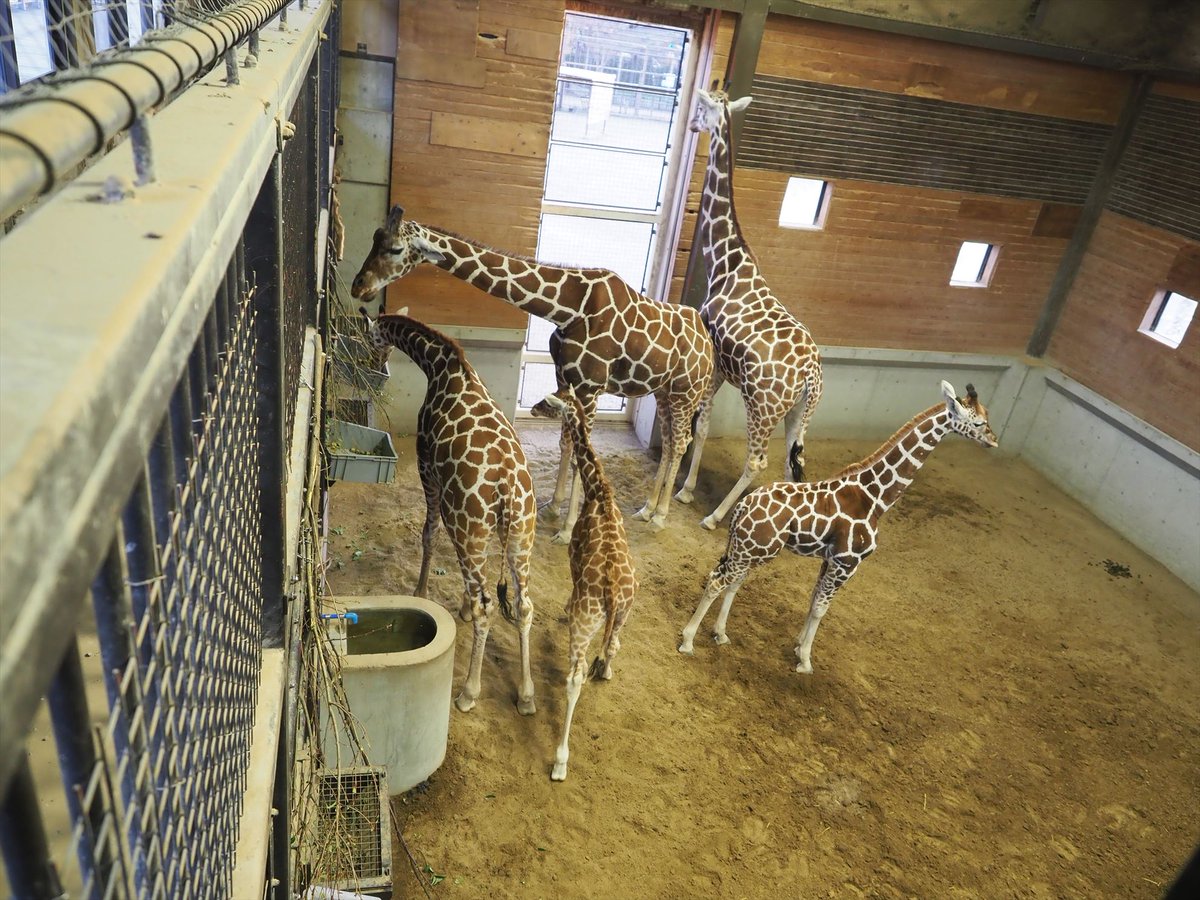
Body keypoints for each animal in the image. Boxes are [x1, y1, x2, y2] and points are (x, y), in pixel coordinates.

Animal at [351, 206, 714, 544]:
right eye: (373, 238)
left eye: (396, 249)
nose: (358, 287)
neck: (568, 309)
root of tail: (709, 341)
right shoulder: (565, 379)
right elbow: (566, 443)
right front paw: (553, 507)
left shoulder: (590, 387)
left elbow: (582, 451)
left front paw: (566, 529)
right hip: (664, 392)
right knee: (671, 442)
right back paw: (647, 508)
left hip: (685, 392)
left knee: (681, 442)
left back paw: (662, 515)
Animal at [365, 309, 538, 715]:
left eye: (371, 338)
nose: (374, 363)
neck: (440, 364)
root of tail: (508, 489)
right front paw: (459, 607)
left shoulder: (428, 469)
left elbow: (429, 533)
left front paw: (421, 589)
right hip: (519, 534)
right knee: (523, 605)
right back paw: (526, 695)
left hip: (472, 527)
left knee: (488, 606)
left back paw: (469, 692)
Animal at [531, 387, 638, 782]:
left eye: (549, 401)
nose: (533, 408)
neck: (599, 492)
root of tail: (612, 595)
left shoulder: (573, 557)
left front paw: (562, 609)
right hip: (623, 614)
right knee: (614, 646)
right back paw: (605, 671)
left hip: (585, 624)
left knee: (574, 678)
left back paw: (560, 763)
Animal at [675, 85, 825, 531]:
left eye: (701, 107)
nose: (692, 125)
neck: (726, 262)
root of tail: (812, 374)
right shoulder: (725, 371)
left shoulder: (714, 363)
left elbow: (702, 426)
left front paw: (686, 491)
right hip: (799, 412)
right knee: (793, 463)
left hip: (763, 406)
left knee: (758, 461)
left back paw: (715, 516)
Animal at [678, 381, 997, 675]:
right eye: (978, 422)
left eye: (987, 417)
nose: (993, 441)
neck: (875, 497)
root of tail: (742, 507)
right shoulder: (848, 562)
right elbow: (822, 608)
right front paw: (805, 661)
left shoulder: (829, 559)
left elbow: (813, 600)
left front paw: (798, 647)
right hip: (754, 550)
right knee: (718, 580)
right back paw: (688, 640)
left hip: (751, 550)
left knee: (732, 581)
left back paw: (720, 633)